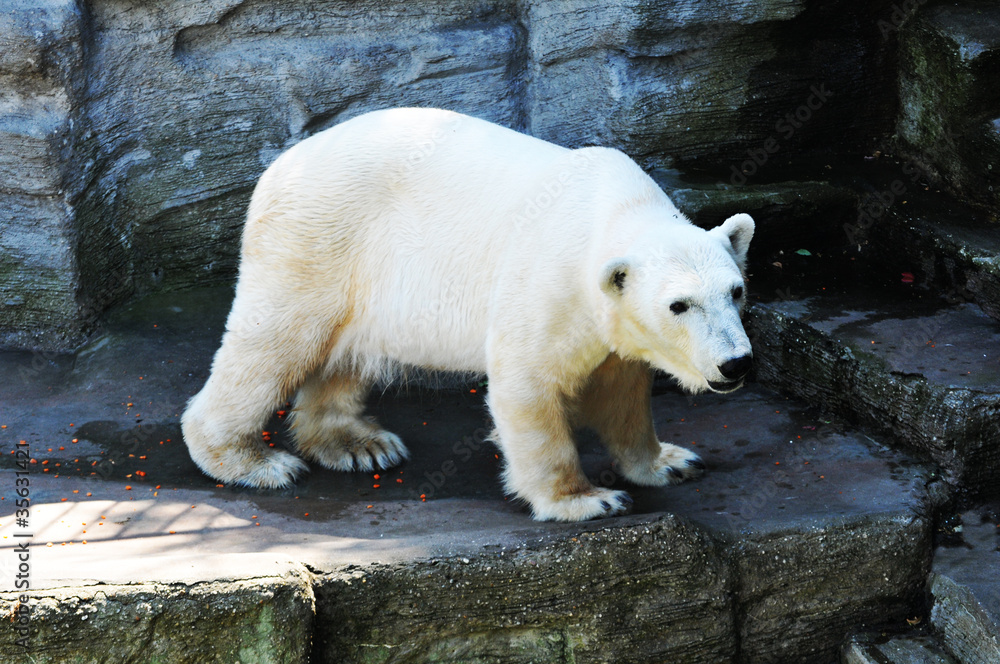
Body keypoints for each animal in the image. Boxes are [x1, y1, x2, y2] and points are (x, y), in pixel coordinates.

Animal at [181, 107, 755, 522]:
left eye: (737, 291)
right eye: (680, 304)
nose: (736, 363)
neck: (611, 212)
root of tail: (279, 166)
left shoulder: (612, 327)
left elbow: (623, 392)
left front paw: (671, 462)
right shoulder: (547, 284)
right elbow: (528, 385)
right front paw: (586, 499)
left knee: (344, 350)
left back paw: (361, 445)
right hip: (318, 238)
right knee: (276, 341)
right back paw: (252, 461)